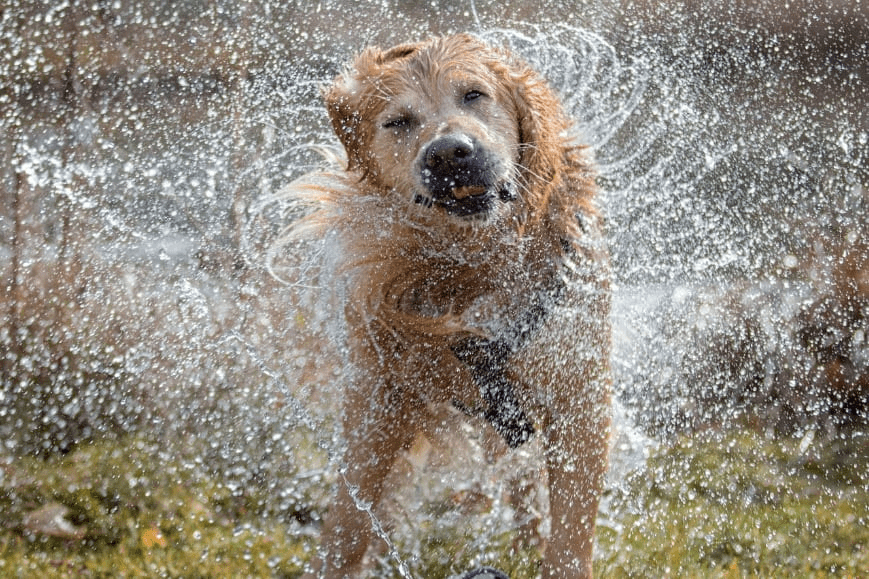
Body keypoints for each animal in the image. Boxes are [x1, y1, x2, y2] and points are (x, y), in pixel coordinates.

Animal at [284, 34, 612, 576]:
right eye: (398, 121)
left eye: (474, 94)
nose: (449, 153)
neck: (475, 264)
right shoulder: (379, 398)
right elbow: (348, 521)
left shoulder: (579, 397)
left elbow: (570, 536)